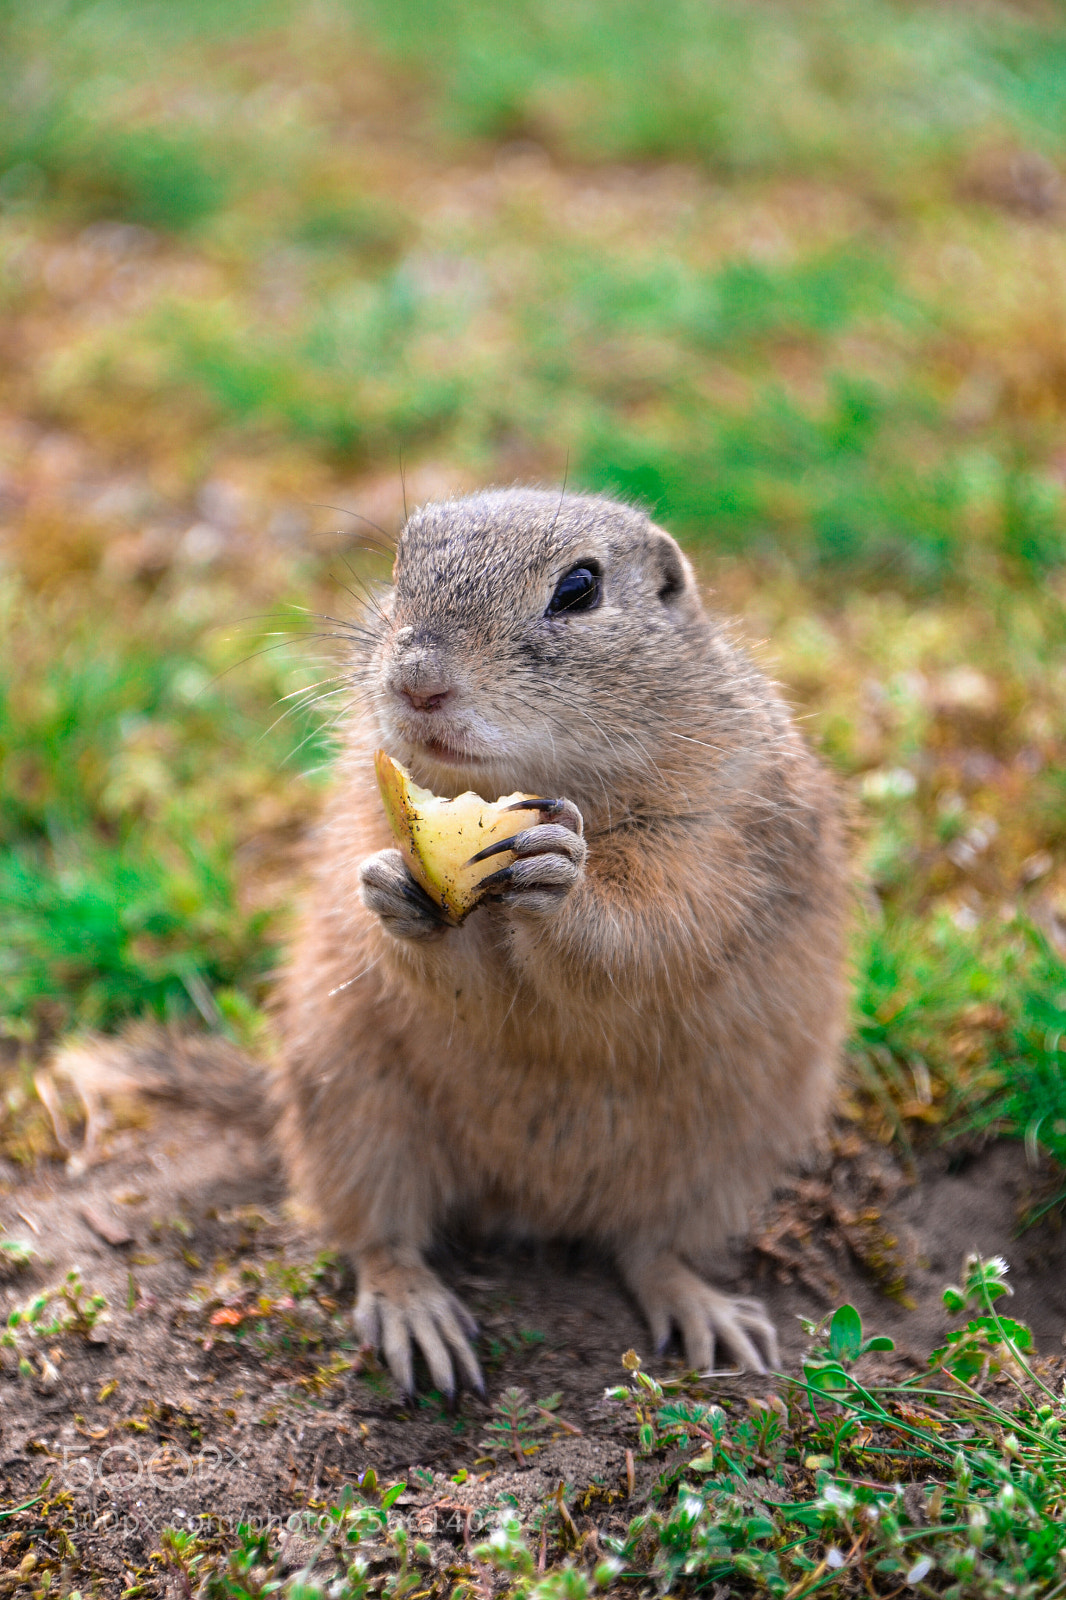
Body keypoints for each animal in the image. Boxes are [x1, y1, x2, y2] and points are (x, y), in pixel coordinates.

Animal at [57, 488, 848, 1394]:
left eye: (579, 589)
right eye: (401, 565)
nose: (418, 683)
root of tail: (530, 1204)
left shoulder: (712, 831)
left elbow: (651, 924)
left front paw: (562, 878)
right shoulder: (366, 809)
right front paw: (389, 889)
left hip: (716, 1157)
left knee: (649, 1249)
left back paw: (709, 1314)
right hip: (354, 1105)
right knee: (381, 1237)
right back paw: (418, 1318)